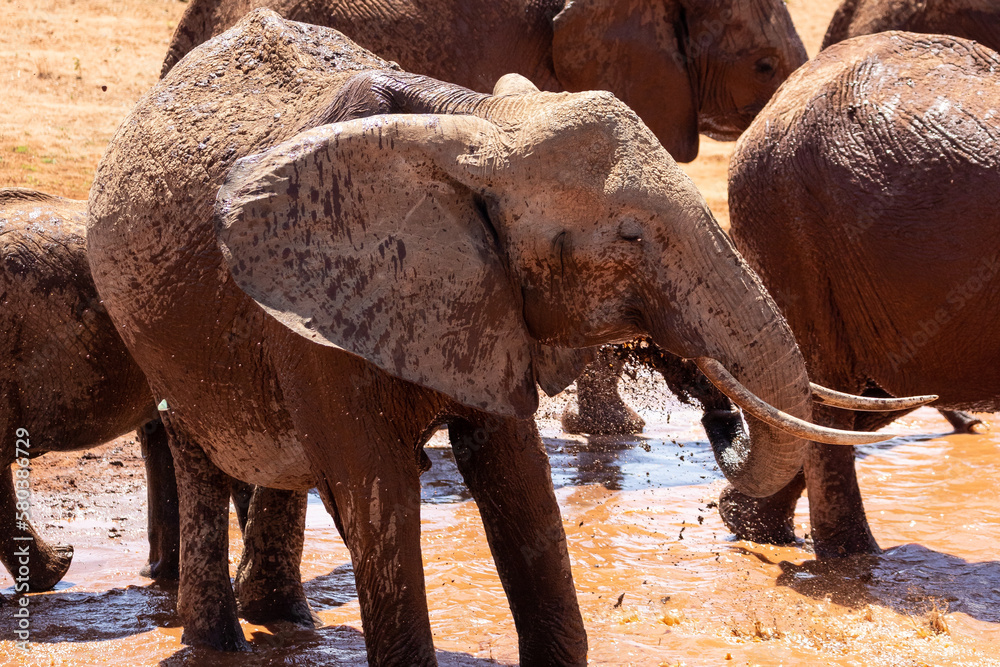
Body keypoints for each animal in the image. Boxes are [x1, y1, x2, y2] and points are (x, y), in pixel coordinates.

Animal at [85, 10, 904, 664]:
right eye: (630, 235)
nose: (709, 400)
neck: (473, 122)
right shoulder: (318, 309)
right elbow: (377, 498)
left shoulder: (479, 298)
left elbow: (520, 484)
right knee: (198, 451)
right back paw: (219, 642)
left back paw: (284, 624)